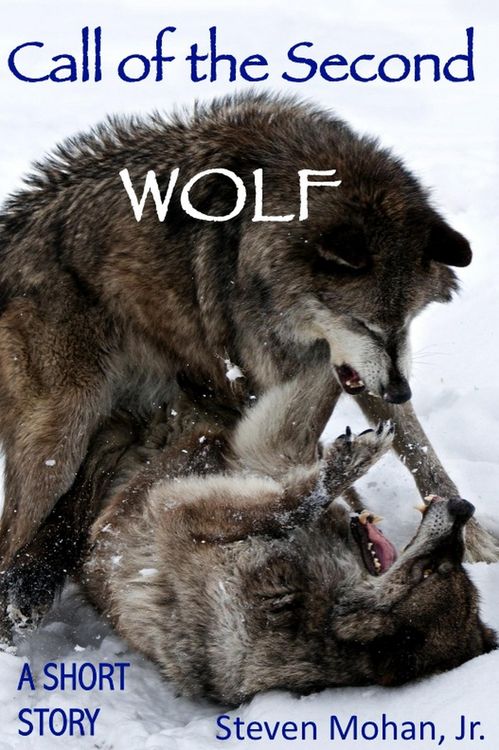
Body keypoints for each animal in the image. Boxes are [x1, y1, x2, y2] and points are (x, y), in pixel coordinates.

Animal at [0, 91, 496, 631]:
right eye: (362, 322)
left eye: (407, 319)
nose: (401, 390)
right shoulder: (282, 379)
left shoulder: (361, 373)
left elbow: (419, 450)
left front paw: (475, 539)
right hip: (61, 438)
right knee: (14, 539)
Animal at [73, 363, 496, 705]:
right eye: (451, 566)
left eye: (435, 570)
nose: (463, 508)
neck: (299, 600)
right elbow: (300, 495)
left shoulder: (179, 510)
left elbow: (293, 501)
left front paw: (344, 464)